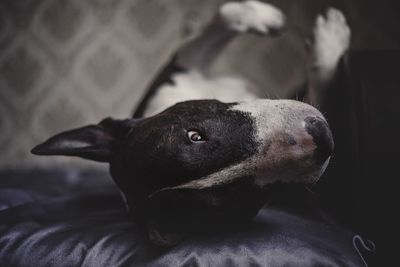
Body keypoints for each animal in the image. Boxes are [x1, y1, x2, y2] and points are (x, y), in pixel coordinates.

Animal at [31, 0, 350, 247]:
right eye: (236, 196)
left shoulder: (171, 77)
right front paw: (331, 42)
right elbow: (325, 92)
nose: (321, 136)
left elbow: (221, 17)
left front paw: (265, 17)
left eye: (194, 135)